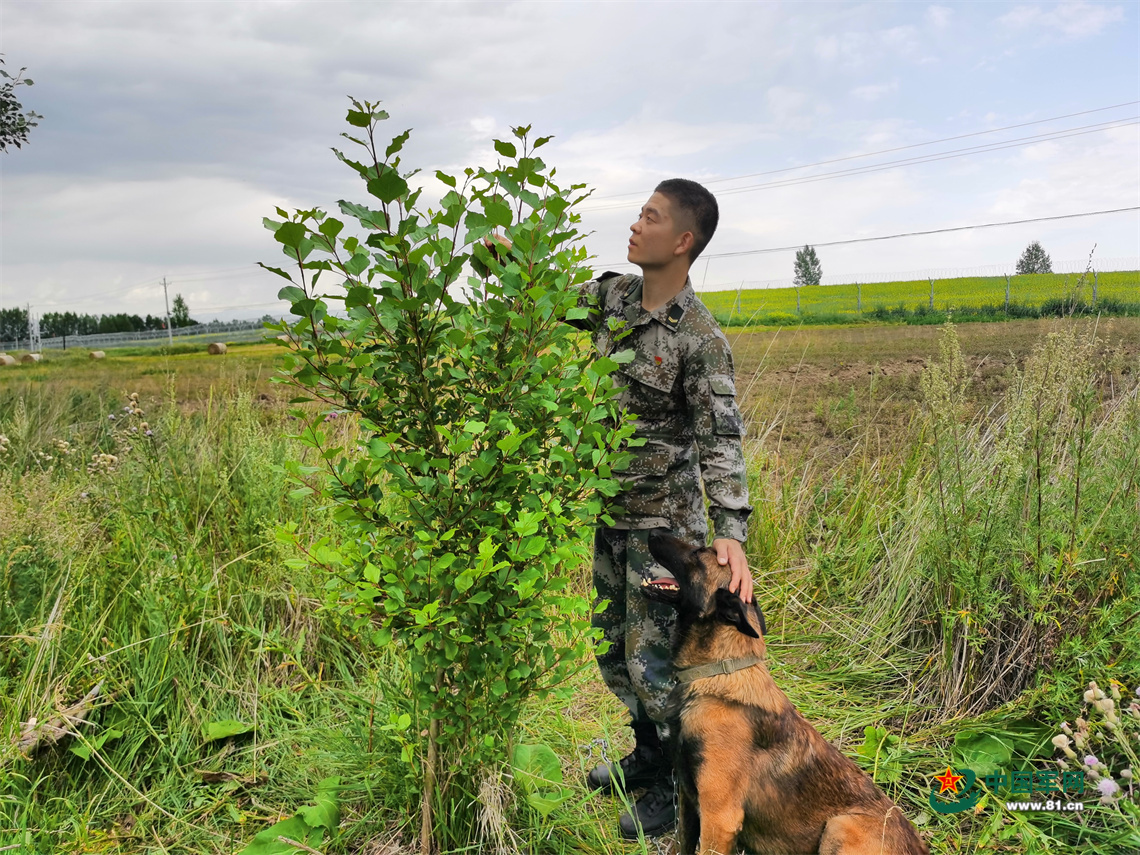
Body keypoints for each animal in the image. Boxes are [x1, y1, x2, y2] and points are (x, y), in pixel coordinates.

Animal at [647, 535, 930, 855]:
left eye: (698, 552)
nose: (653, 533)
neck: (715, 673)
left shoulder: (719, 817)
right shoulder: (687, 797)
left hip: (840, 825)